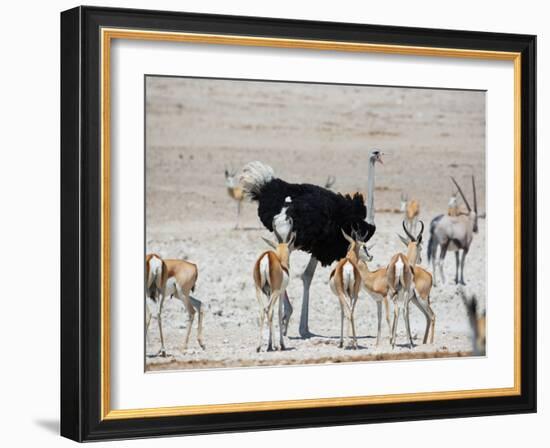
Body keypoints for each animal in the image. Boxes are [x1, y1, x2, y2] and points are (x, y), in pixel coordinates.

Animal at [254, 222, 298, 352]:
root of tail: (266, 257)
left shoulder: (268, 293)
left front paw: (268, 345)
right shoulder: (281, 292)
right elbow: (279, 312)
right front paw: (281, 344)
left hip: (258, 290)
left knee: (263, 310)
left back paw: (259, 346)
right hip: (274, 292)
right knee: (269, 310)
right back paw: (277, 345)